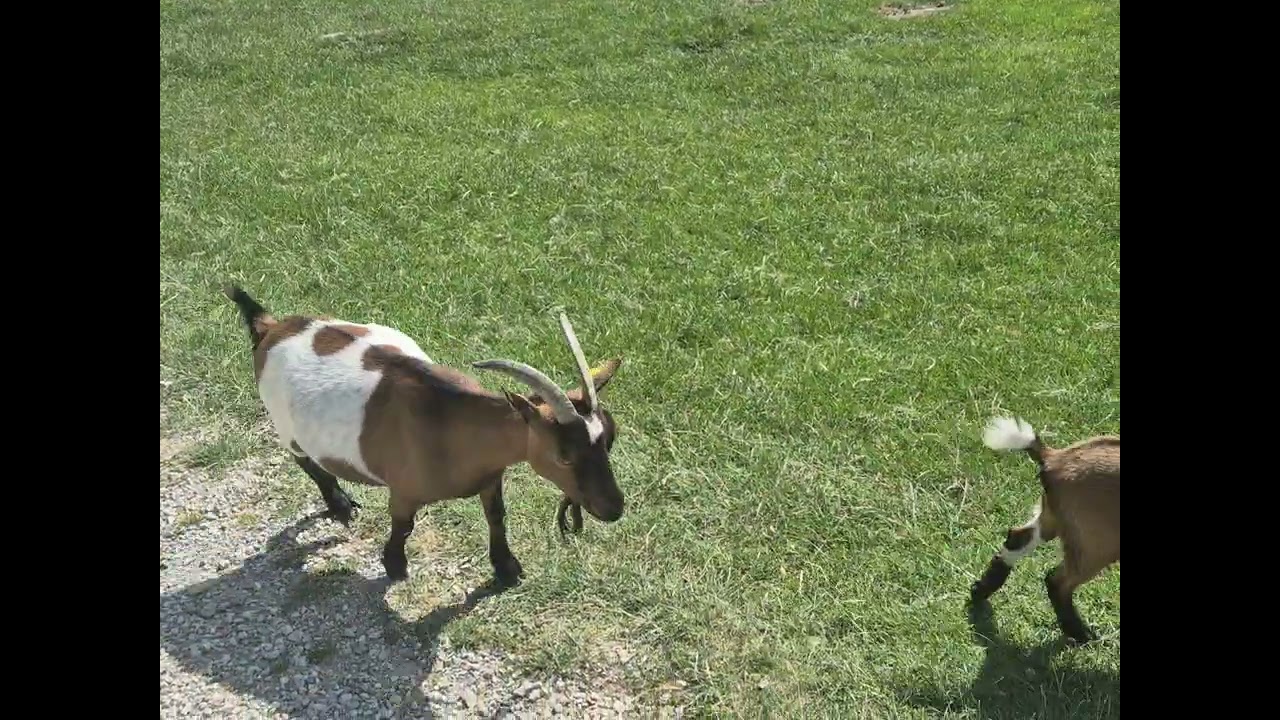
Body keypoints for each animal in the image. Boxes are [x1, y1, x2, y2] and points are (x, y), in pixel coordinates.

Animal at [223, 286, 625, 585]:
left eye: (610, 438)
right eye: (564, 455)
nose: (614, 508)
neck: (449, 422)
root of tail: (271, 327)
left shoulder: (490, 477)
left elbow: (496, 515)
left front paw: (507, 568)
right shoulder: (404, 489)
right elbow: (403, 525)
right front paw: (394, 566)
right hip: (285, 423)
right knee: (305, 460)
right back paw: (339, 504)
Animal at [968, 416, 1119, 645]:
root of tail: (1054, 457)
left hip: (1055, 520)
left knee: (1016, 539)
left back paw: (980, 590)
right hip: (1097, 543)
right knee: (1057, 582)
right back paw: (1081, 635)